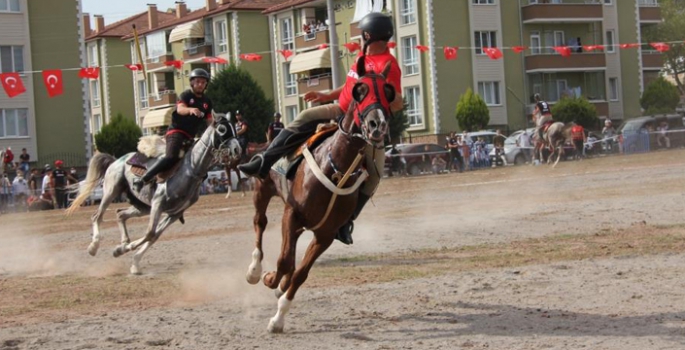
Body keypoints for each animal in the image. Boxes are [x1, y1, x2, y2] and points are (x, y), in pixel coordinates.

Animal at [65, 114, 239, 274]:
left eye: (234, 127)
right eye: (222, 129)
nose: (237, 149)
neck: (190, 169)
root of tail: (116, 160)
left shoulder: (174, 213)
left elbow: (154, 236)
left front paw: (131, 259)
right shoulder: (158, 204)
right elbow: (149, 233)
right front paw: (123, 251)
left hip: (142, 207)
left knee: (120, 214)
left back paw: (123, 242)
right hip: (111, 191)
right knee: (97, 216)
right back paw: (94, 246)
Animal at [243, 61, 392, 332]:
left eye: (388, 91)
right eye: (359, 90)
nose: (378, 124)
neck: (335, 167)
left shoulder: (325, 235)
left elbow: (300, 272)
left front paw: (279, 315)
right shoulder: (291, 214)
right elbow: (284, 261)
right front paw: (271, 279)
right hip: (262, 190)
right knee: (260, 223)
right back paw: (255, 270)